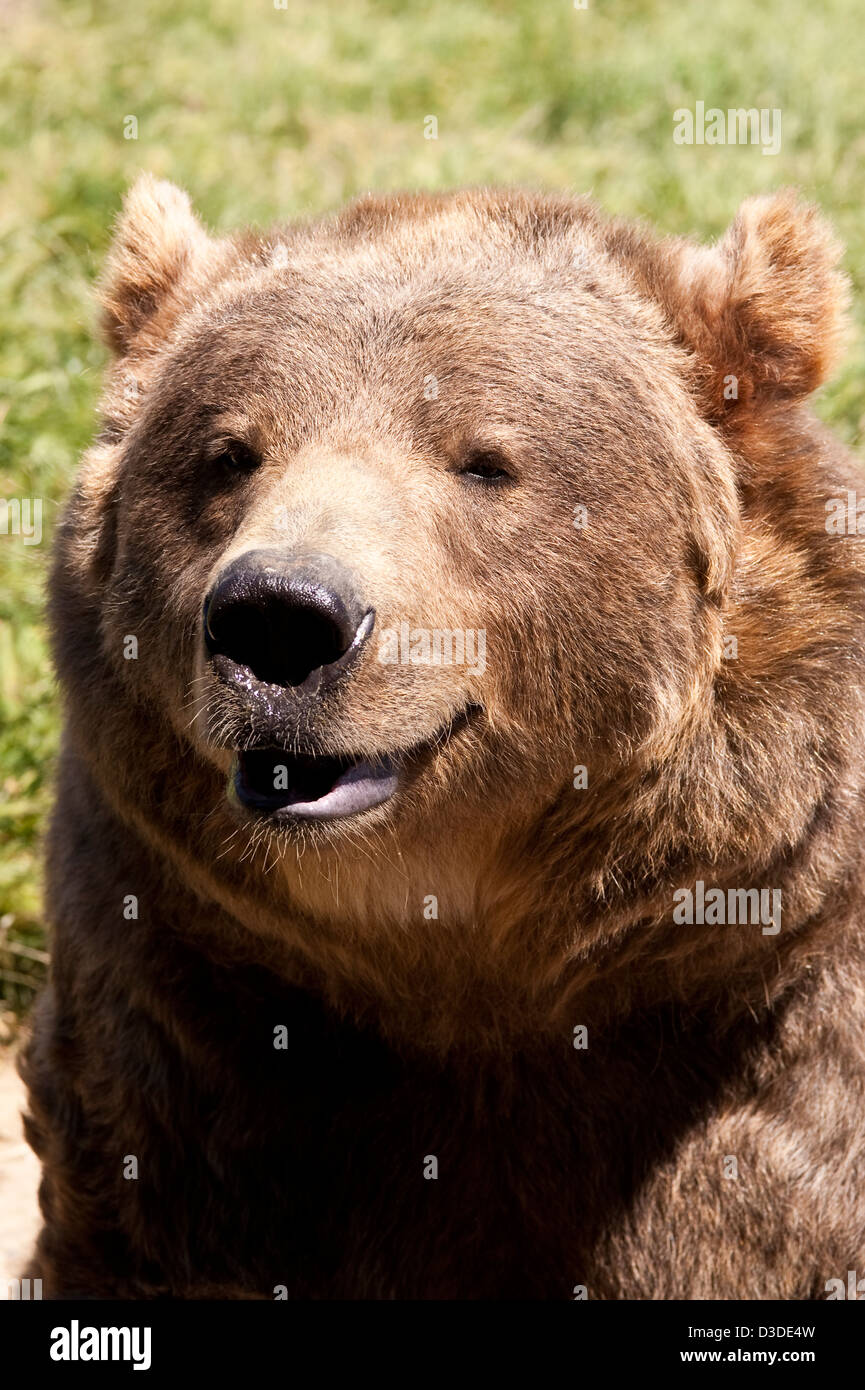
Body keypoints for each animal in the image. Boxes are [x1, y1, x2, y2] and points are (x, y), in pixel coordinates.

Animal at [18, 175, 865, 1299]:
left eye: (485, 461)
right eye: (230, 454)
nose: (278, 618)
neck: (454, 960)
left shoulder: (756, 1046)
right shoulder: (175, 998)